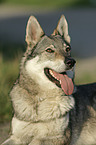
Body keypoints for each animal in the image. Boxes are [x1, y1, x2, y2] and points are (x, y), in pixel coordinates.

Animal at [1, 15, 96, 145]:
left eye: (67, 49)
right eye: (49, 50)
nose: (71, 62)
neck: (40, 101)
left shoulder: (58, 137)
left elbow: (34, 142)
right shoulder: (16, 137)